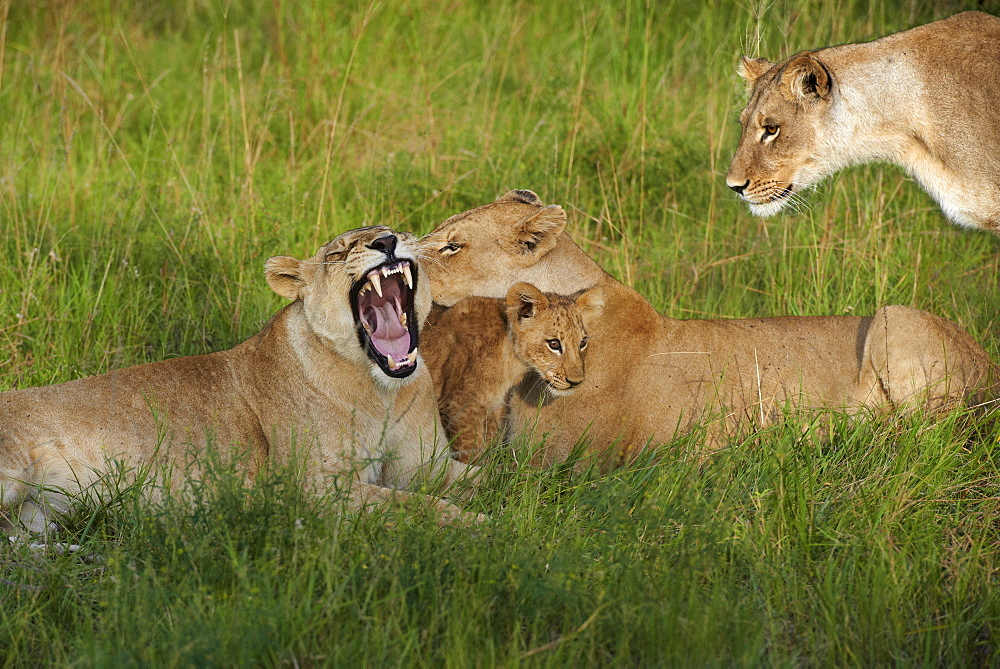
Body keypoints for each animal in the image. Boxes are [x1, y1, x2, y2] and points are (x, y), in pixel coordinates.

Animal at [0, 224, 478, 532]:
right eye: (337, 254)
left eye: (398, 230)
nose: (387, 241)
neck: (380, 392)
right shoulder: (316, 489)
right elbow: (417, 506)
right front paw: (482, 528)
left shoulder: (424, 465)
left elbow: (485, 475)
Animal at [422, 280, 600, 462]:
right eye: (554, 344)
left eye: (582, 343)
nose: (576, 382)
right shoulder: (458, 409)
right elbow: (471, 457)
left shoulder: (486, 411)